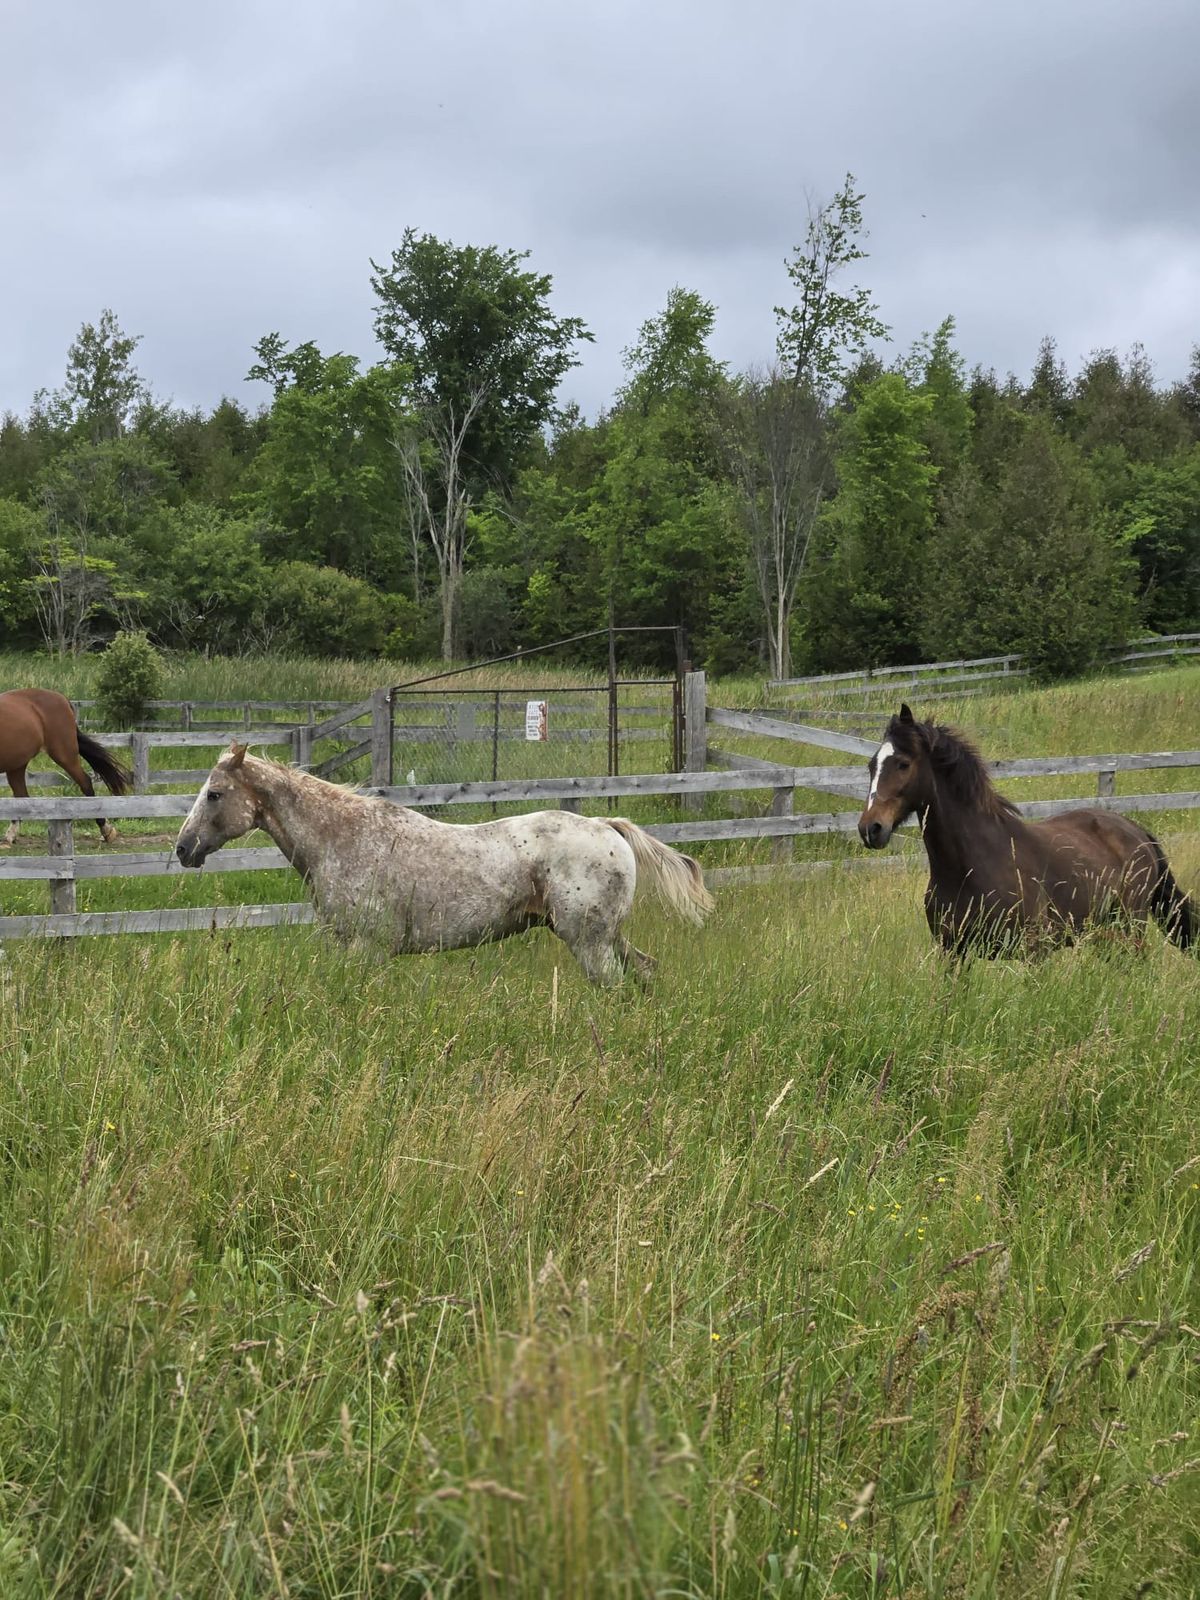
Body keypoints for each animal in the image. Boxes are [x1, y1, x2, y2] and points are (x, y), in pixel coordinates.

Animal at [0, 688, 132, 851]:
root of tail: (62, 699)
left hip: (64, 754)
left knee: (85, 783)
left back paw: (106, 830)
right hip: (17, 764)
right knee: (21, 797)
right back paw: (10, 836)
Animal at [178, 742, 713, 979]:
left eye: (215, 793)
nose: (183, 849)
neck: (344, 840)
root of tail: (608, 826)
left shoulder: (368, 949)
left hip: (590, 942)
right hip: (608, 937)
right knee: (644, 972)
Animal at [857, 700, 1196, 947]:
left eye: (903, 764)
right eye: (871, 766)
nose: (870, 829)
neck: (972, 865)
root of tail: (1136, 831)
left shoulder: (1034, 950)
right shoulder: (955, 951)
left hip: (1130, 925)